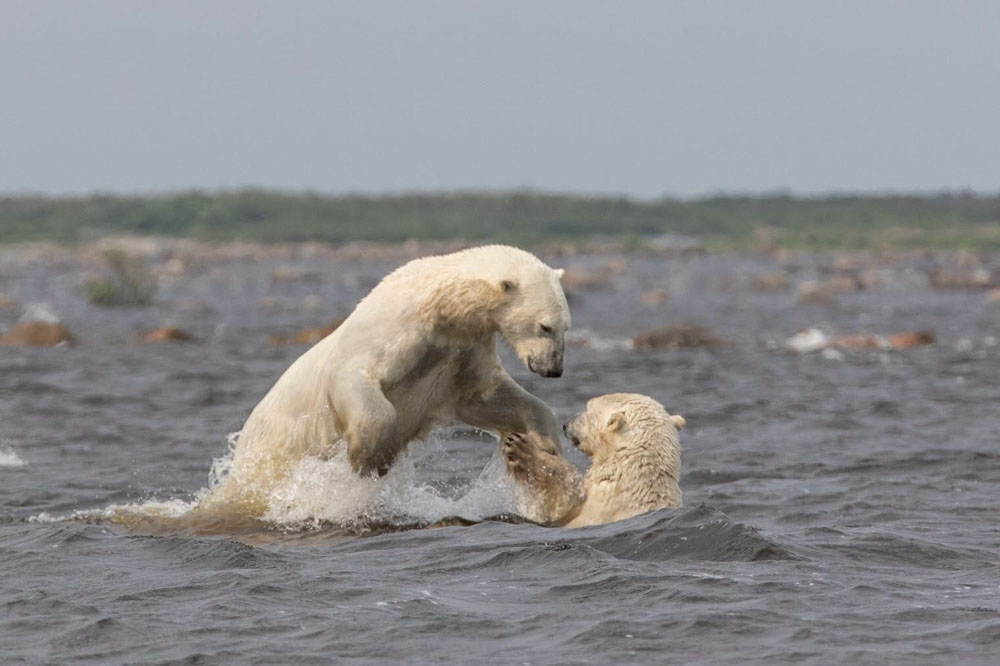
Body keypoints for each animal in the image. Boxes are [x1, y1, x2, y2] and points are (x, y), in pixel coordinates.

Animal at [204, 245, 571, 516]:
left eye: (565, 327)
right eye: (545, 327)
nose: (554, 369)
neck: (442, 308)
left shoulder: (463, 349)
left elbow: (483, 397)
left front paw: (545, 444)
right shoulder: (395, 330)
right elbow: (357, 378)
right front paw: (370, 459)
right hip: (271, 456)